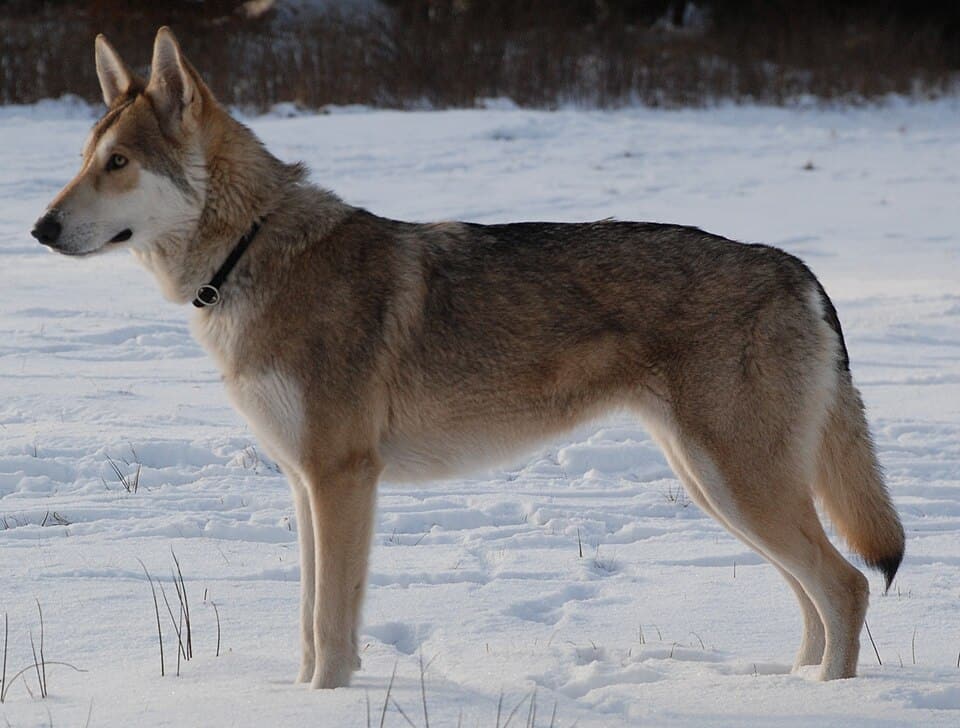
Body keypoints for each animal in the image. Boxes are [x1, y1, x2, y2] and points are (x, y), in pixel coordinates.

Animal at [32, 27, 904, 687]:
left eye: (118, 164)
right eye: (81, 158)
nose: (39, 229)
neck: (250, 251)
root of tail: (797, 269)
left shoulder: (343, 478)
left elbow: (333, 629)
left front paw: (326, 701)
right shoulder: (305, 483)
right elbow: (311, 623)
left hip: (735, 484)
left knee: (848, 587)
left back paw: (824, 699)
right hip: (717, 486)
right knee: (814, 597)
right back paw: (791, 684)